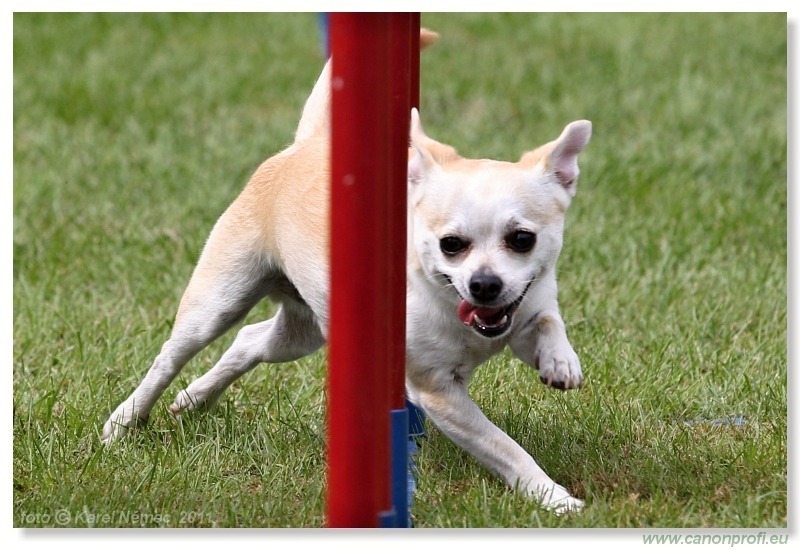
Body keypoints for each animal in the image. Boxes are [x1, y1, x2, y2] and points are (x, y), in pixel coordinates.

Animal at [103, 29, 592, 512]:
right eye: (451, 245)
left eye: (522, 239)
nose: (485, 284)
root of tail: (308, 145)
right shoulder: (440, 393)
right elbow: (503, 446)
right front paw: (553, 496)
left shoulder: (523, 312)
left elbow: (546, 321)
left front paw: (561, 361)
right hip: (219, 302)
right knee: (171, 356)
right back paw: (126, 420)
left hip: (302, 333)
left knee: (248, 342)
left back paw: (193, 399)